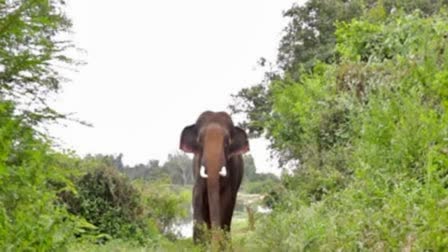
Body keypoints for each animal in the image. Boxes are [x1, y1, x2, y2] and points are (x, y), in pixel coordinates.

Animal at [178, 110, 248, 244]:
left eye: (227, 143)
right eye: (200, 141)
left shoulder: (233, 171)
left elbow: (226, 199)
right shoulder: (197, 168)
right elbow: (197, 196)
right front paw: (200, 244)